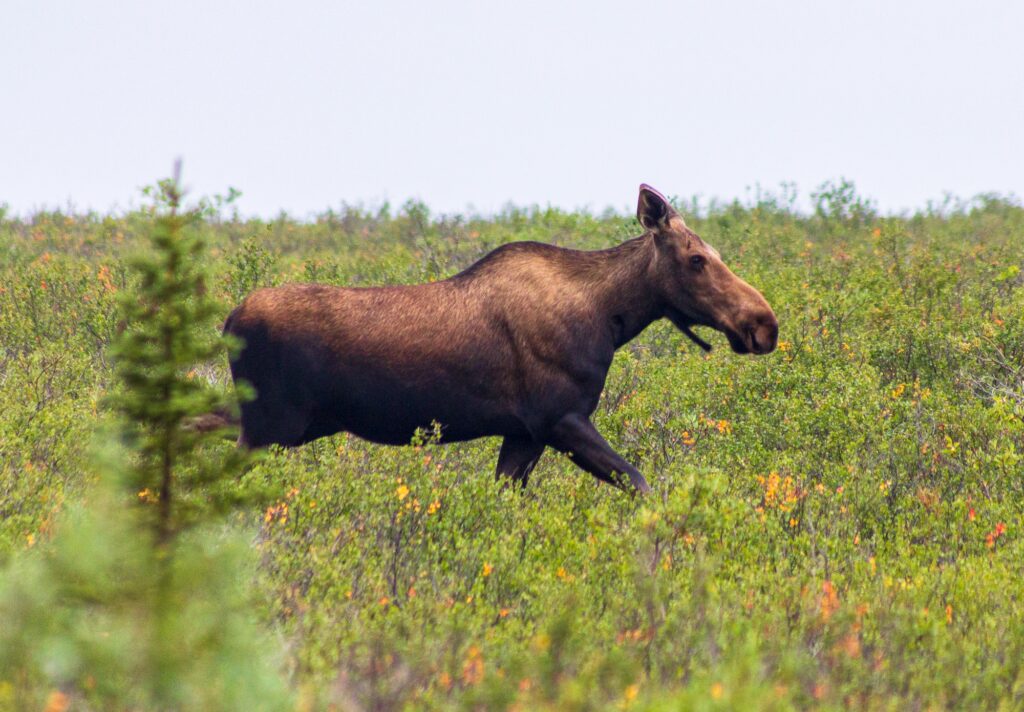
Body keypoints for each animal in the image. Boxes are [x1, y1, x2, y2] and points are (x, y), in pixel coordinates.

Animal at [218, 186, 774, 493]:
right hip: (271, 427)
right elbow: (641, 484)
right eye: (696, 258)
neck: (610, 318)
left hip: (266, 423)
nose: (764, 323)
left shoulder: (524, 434)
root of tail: (227, 323)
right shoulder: (560, 418)